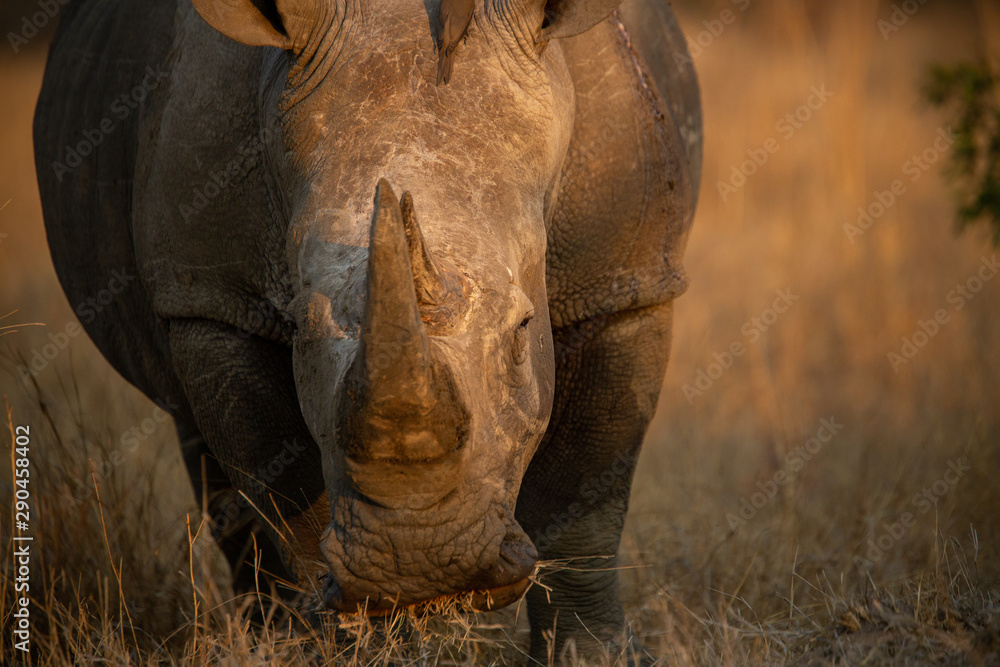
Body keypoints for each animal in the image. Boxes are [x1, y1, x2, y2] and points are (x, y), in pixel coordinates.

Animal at [34, 0, 700, 658]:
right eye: (297, 330)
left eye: (521, 332)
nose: (421, 563)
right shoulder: (212, 299)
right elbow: (286, 495)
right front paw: (345, 640)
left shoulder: (623, 280)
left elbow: (583, 497)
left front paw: (594, 654)